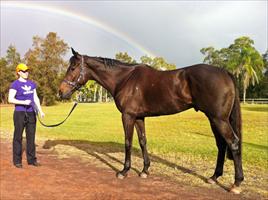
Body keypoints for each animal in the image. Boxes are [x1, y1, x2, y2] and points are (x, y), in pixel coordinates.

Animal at [58, 47, 243, 193]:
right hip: (213, 119)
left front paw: (124, 171)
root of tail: (225, 72)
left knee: (233, 142)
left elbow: (128, 142)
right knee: (221, 145)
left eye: (73, 67)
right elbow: (142, 141)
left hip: (219, 119)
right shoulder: (139, 117)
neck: (124, 79)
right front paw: (145, 170)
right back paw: (214, 177)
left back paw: (236, 184)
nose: (61, 92)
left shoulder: (128, 116)